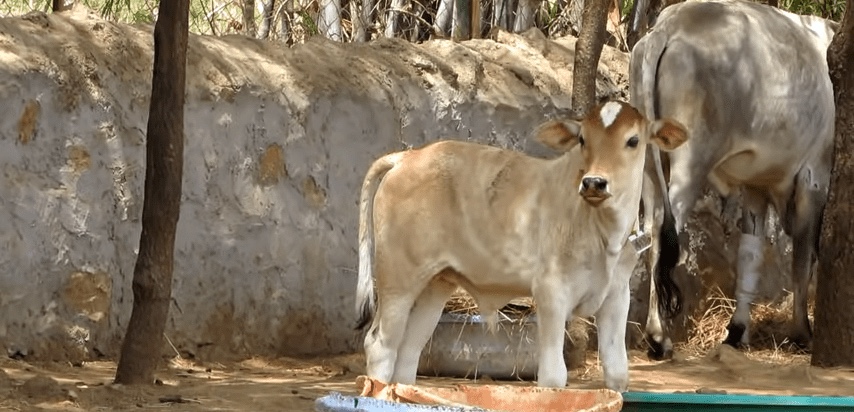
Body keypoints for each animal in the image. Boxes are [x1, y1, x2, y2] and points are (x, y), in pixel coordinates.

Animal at [352, 100, 688, 392]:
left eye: (633, 140)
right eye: (582, 139)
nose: (594, 182)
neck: (604, 233)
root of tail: (407, 157)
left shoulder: (616, 296)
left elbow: (617, 372)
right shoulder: (551, 291)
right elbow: (553, 375)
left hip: (436, 285)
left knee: (408, 352)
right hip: (398, 281)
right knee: (381, 346)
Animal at [632, 0, 840, 360]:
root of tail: (670, 25)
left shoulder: (756, 185)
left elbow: (750, 255)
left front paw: (738, 331)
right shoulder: (814, 179)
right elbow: (803, 260)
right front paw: (802, 332)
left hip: (645, 166)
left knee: (646, 234)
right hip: (690, 161)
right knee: (663, 228)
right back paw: (659, 337)